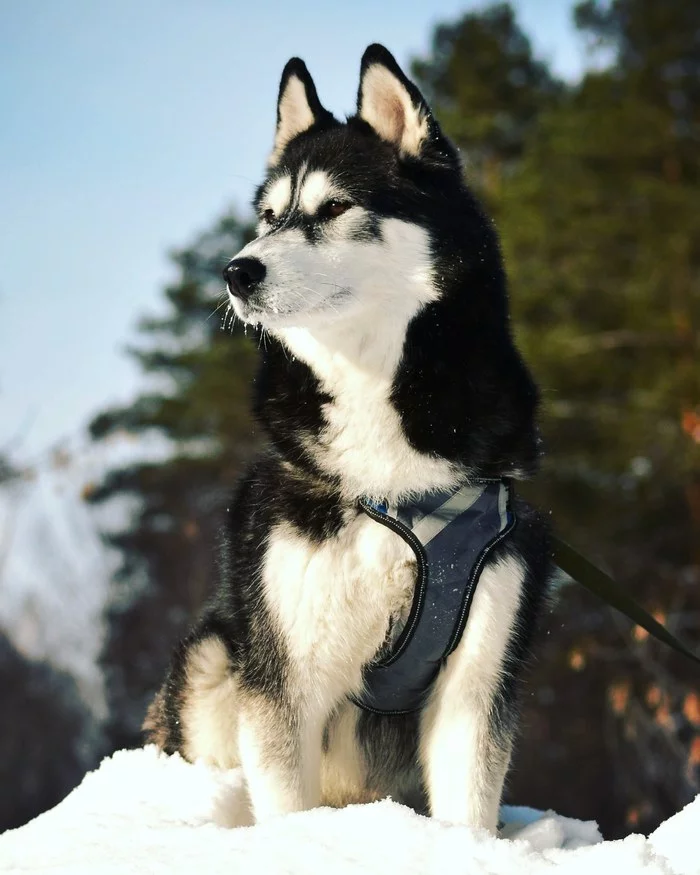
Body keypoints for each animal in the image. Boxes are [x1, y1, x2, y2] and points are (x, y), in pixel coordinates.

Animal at [148, 42, 552, 836]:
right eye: (269, 216)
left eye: (333, 207)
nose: (236, 270)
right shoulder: (284, 678)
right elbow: (283, 804)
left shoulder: (477, 677)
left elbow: (467, 807)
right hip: (218, 653)